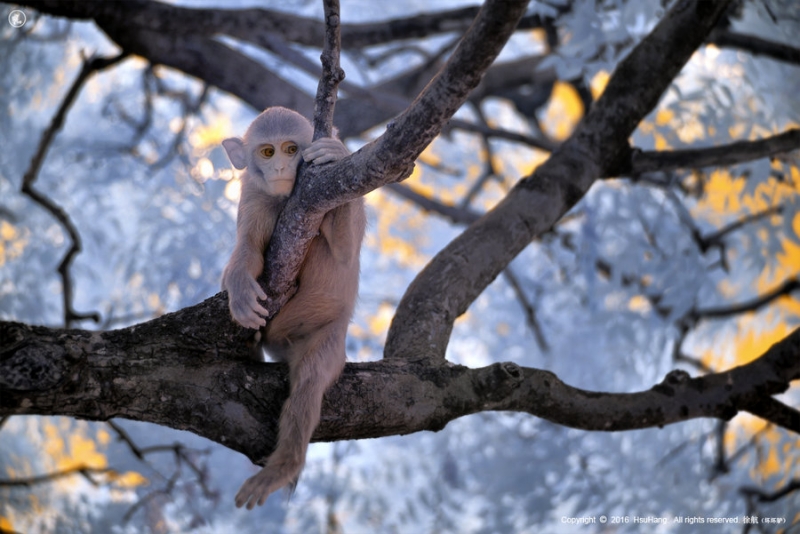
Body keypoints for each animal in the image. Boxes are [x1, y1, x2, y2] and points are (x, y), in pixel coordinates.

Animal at [222, 108, 366, 510]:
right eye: (267, 152)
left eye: (291, 148)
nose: (281, 166)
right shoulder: (253, 196)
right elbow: (247, 251)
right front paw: (239, 289)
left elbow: (345, 252)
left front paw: (333, 152)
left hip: (329, 335)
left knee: (311, 379)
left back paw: (283, 466)